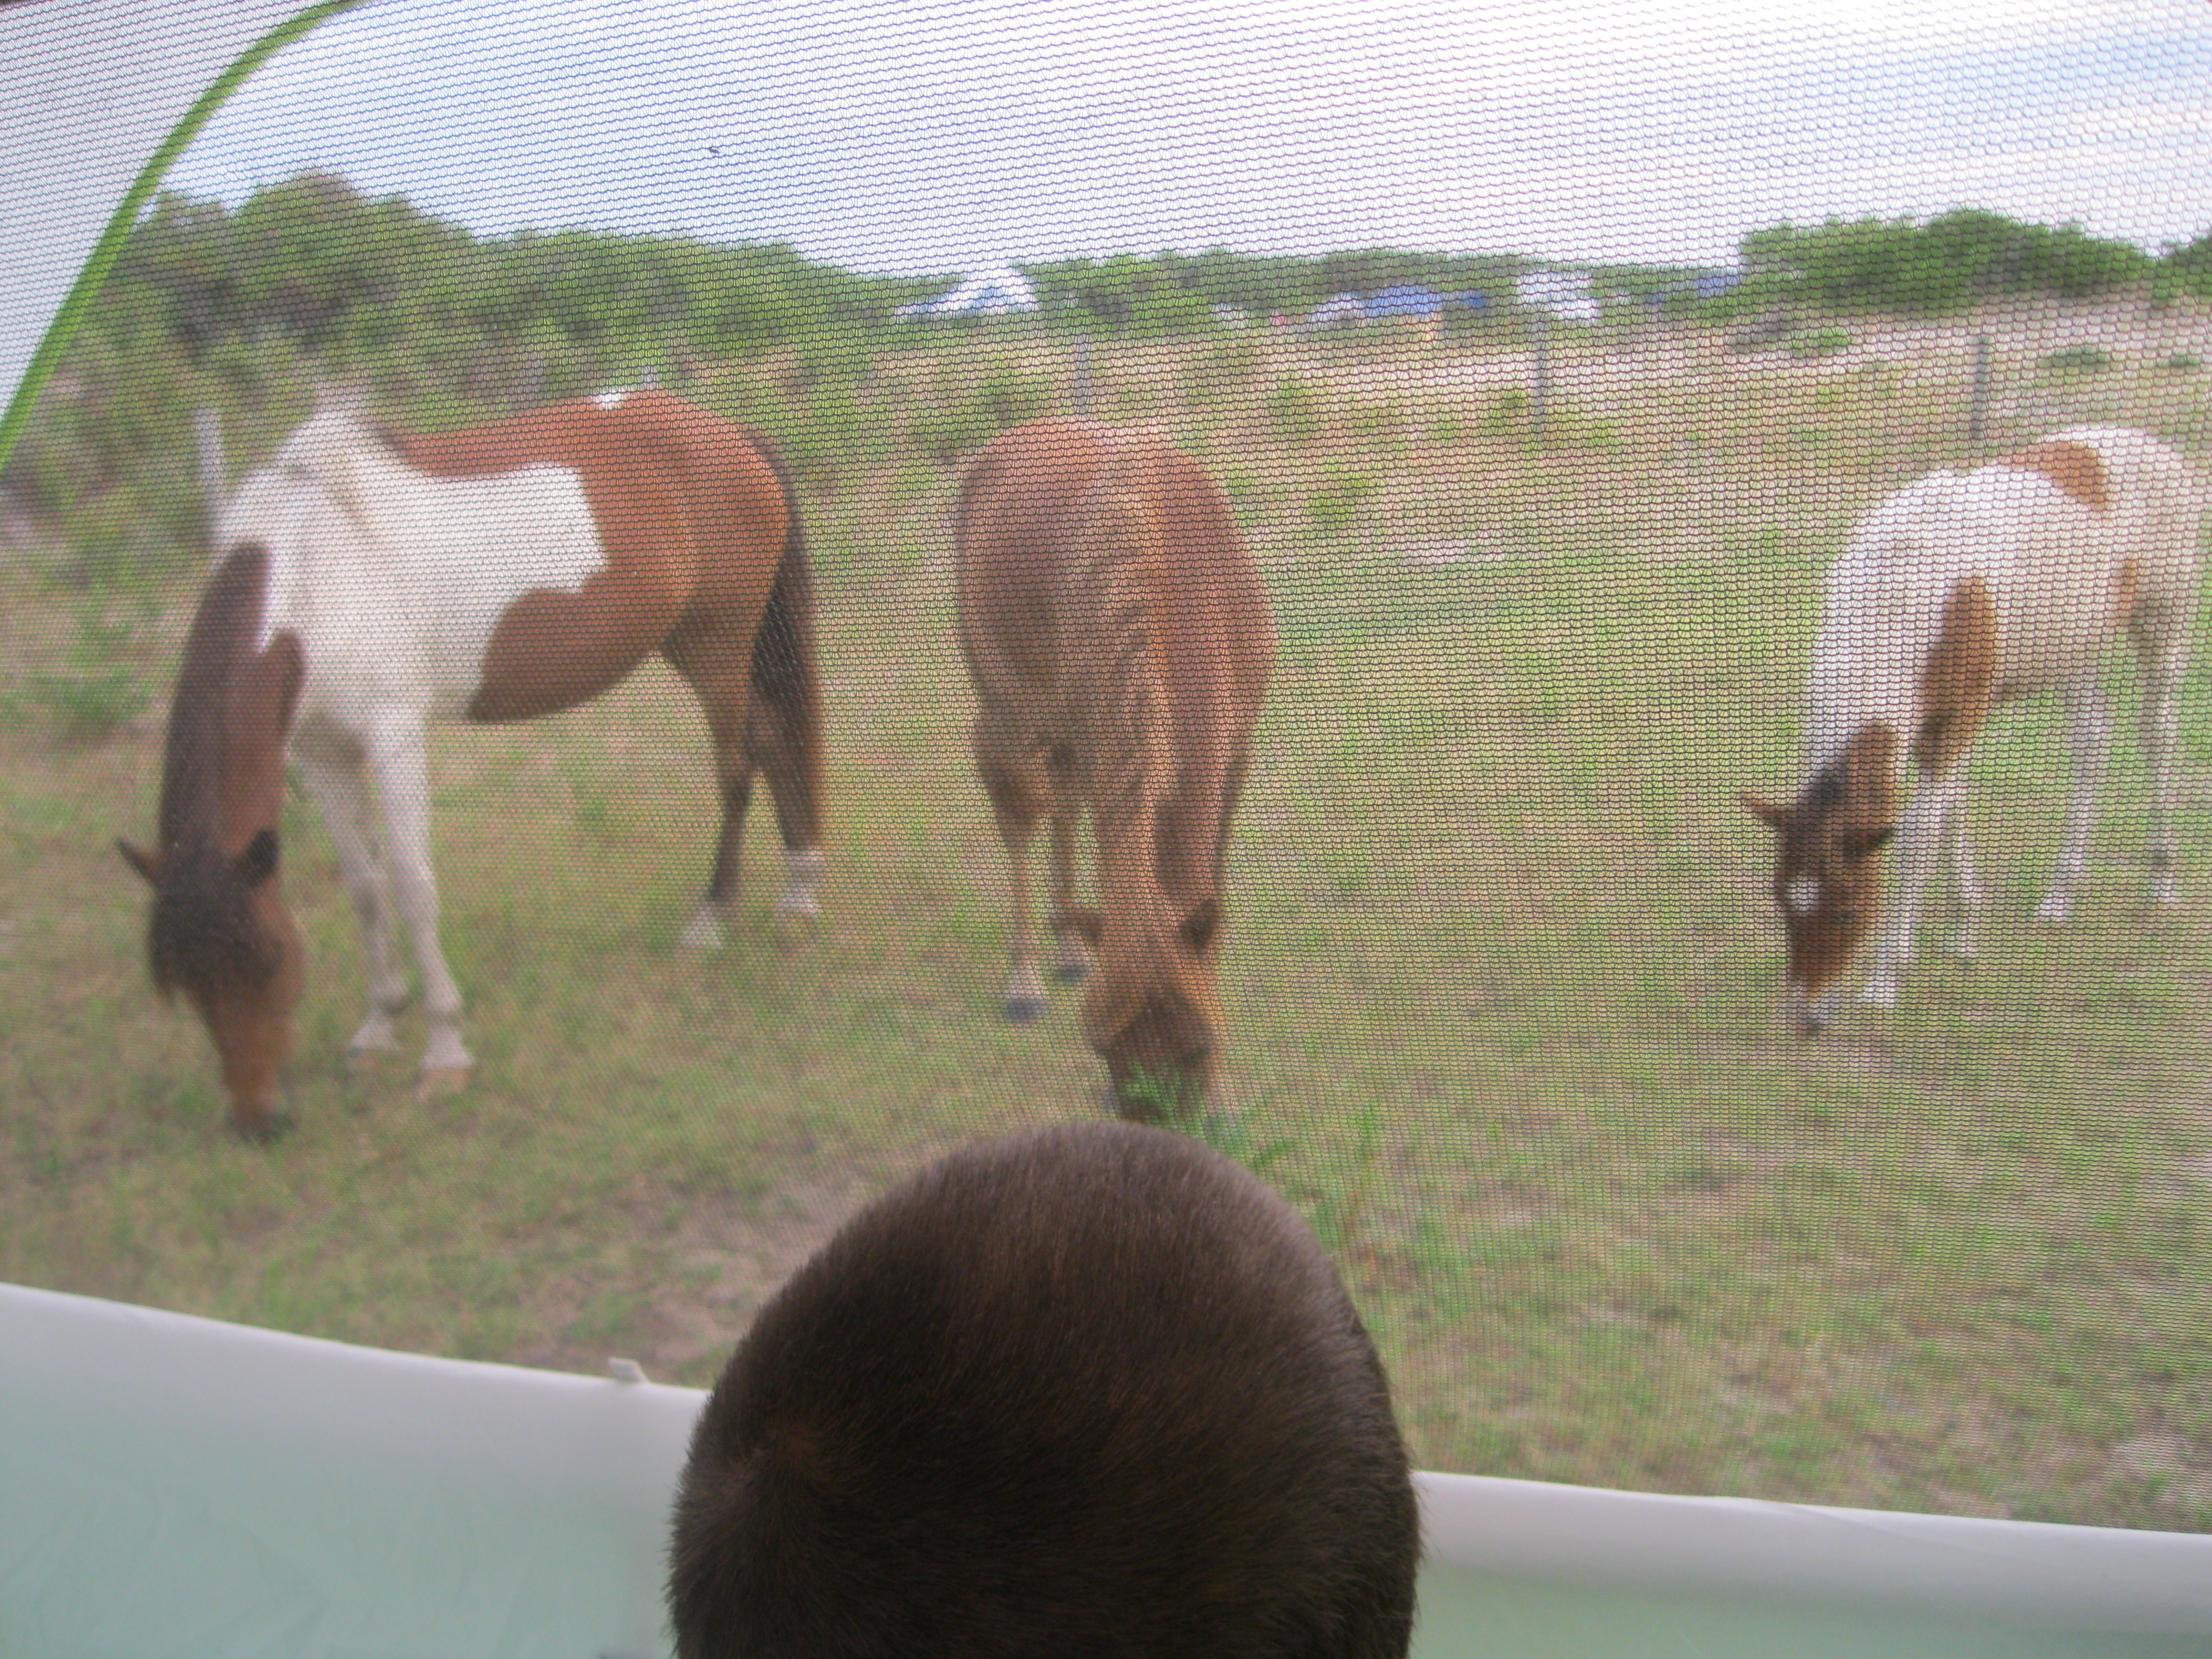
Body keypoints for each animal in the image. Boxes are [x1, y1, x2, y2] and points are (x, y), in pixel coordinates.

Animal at [118, 389, 825, 1137]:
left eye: (268, 961)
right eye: (184, 984)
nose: (259, 1120)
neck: (314, 575)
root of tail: (730, 432)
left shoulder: (394, 738)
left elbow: (411, 887)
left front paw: (445, 1054)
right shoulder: (322, 755)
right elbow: (365, 889)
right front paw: (378, 1028)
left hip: (720, 644)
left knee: (739, 766)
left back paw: (713, 921)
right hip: (690, 643)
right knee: (774, 741)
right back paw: (797, 893)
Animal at [953, 417, 1274, 1119]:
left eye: (1198, 1048)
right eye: (1104, 1053)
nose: (1156, 1132)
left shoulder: (1236, 754)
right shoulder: (1102, 745)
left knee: (1061, 803)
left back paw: (1072, 948)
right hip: (1008, 712)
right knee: (1019, 810)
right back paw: (1024, 980)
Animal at [1742, 426, 2202, 1033]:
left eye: (1848, 910)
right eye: (1780, 900)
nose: (1807, 1017)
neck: (1907, 599)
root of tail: (2155, 445)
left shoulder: (1957, 721)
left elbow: (1920, 836)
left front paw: (1885, 977)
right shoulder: (1931, 726)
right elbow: (1948, 814)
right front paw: (1962, 930)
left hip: (2161, 622)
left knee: (2159, 733)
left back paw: (2162, 877)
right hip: (2075, 650)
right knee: (2092, 740)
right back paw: (2060, 894)